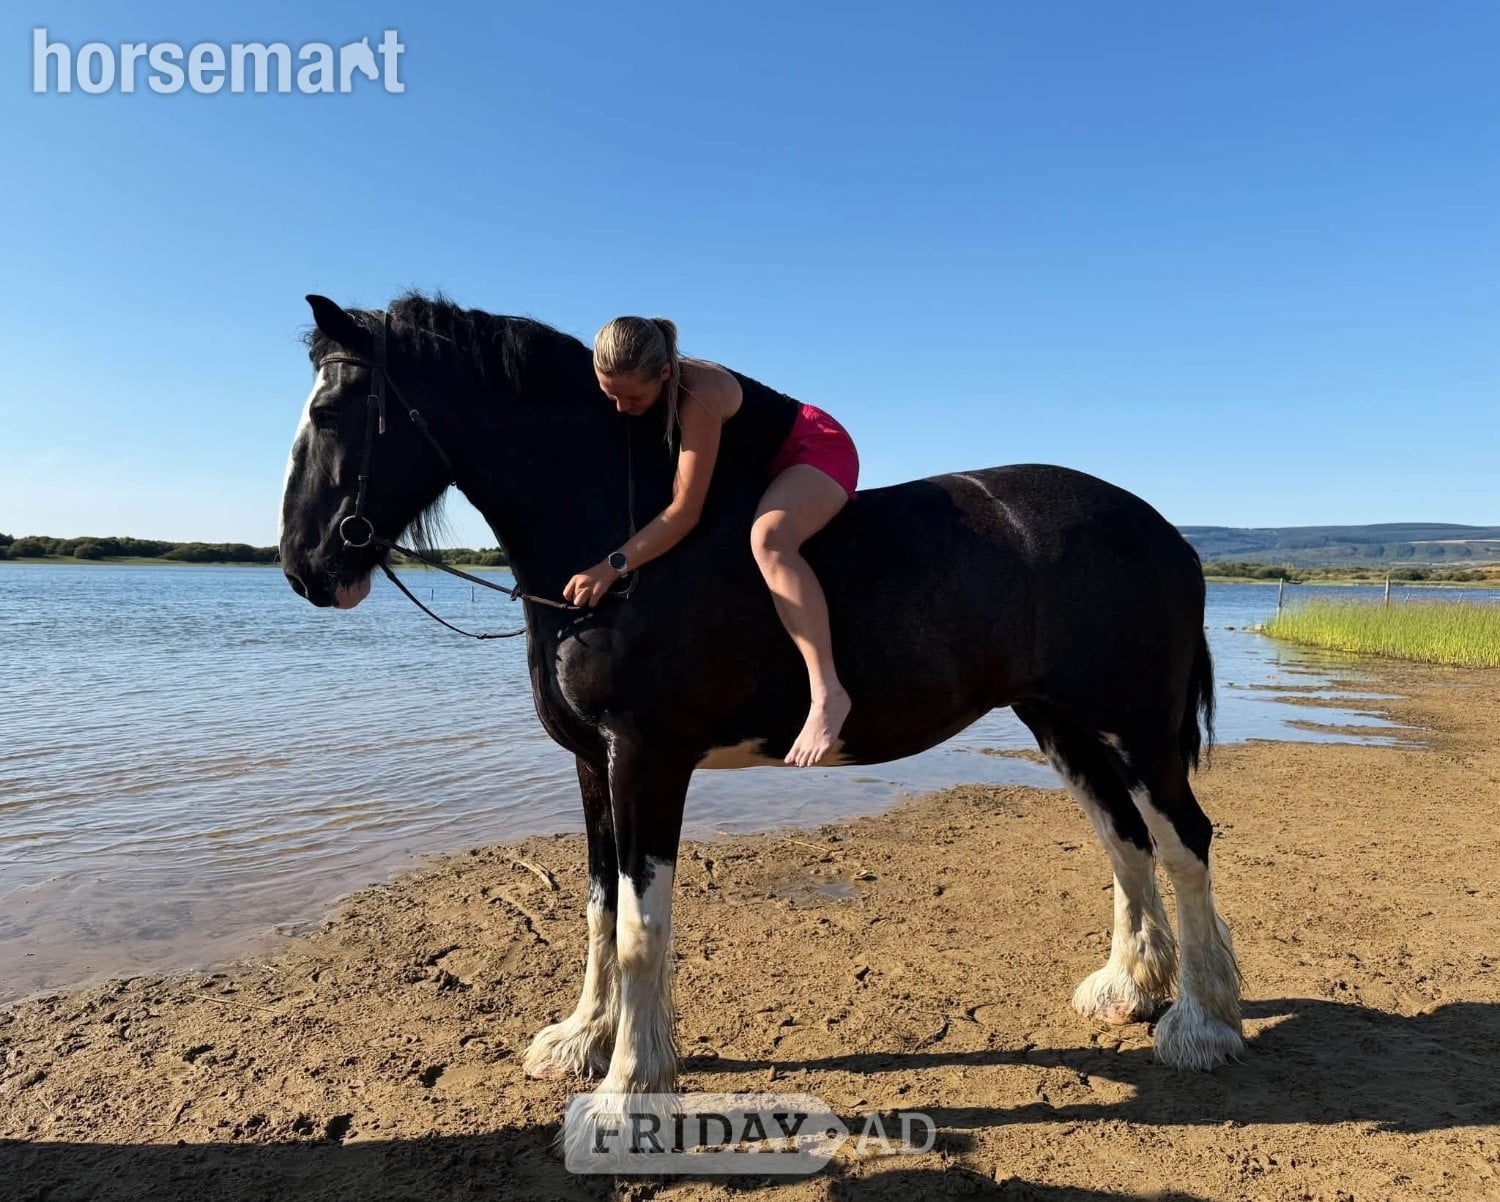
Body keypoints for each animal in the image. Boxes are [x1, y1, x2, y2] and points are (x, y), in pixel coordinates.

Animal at [278, 291, 1243, 1129]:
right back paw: (1131, 987)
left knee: (1182, 841)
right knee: (1123, 838)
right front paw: (583, 1041)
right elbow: (597, 908)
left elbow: (641, 925)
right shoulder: (592, 763)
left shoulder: (648, 760)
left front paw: (629, 1087)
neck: (618, 546)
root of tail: (1165, 532)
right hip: (1062, 722)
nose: (303, 566)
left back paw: (1202, 1023)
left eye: (330, 411)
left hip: (1134, 728)